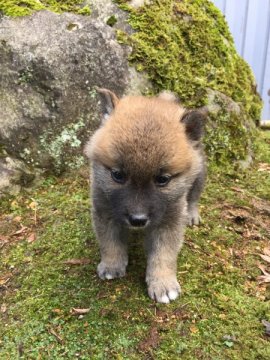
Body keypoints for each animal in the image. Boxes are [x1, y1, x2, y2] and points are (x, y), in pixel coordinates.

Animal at [84, 88, 207, 302]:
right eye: (117, 175)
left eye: (163, 179)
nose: (138, 220)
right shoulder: (104, 212)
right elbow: (110, 243)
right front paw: (112, 265)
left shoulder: (169, 221)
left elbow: (163, 255)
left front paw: (163, 283)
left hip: (199, 176)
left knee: (193, 197)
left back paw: (192, 215)